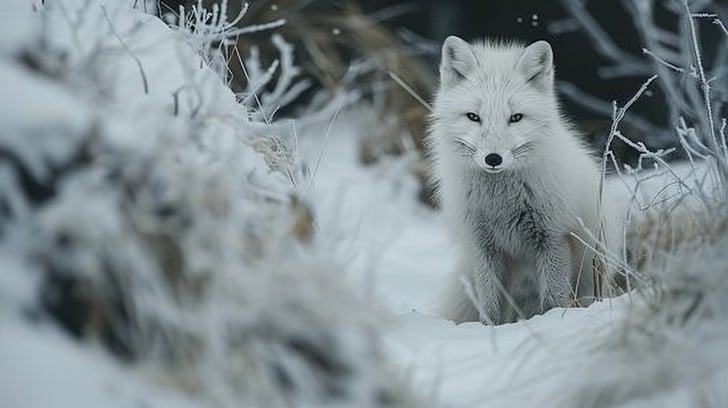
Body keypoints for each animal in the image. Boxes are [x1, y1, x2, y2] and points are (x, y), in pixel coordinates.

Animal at [428, 36, 620, 324]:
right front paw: (490, 330)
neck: (501, 203)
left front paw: (552, 321)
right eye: (474, 117)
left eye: (515, 117)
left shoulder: (553, 238)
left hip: (589, 274)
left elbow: (552, 300)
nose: (493, 158)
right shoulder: (484, 247)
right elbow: (491, 307)